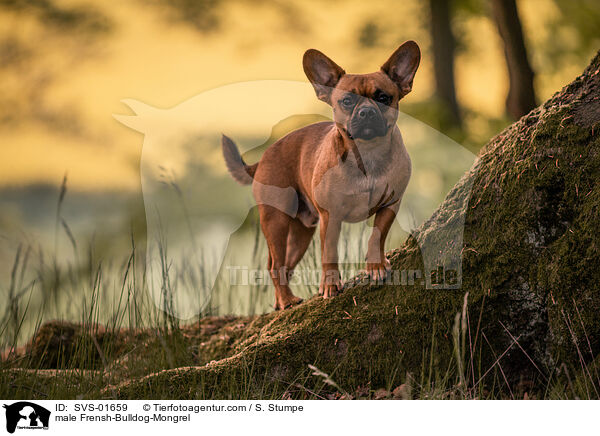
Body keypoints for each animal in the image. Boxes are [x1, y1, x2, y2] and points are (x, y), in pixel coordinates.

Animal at [221, 41, 422, 310]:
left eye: (383, 98)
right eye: (346, 101)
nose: (366, 112)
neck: (367, 155)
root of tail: (261, 160)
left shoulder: (390, 205)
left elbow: (377, 236)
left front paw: (376, 265)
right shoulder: (331, 217)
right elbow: (330, 254)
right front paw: (330, 285)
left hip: (301, 233)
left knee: (284, 266)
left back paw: (280, 302)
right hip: (276, 220)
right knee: (275, 265)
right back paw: (287, 300)